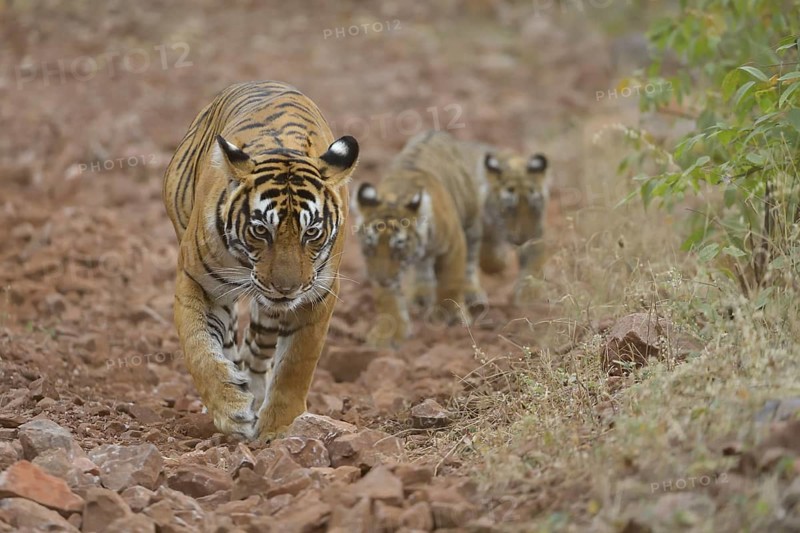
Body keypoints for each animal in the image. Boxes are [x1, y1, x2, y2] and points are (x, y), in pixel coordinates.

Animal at [162, 81, 359, 440]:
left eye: (312, 232)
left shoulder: (318, 294)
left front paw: (279, 429)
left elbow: (296, 363)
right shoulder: (197, 282)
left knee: (257, 349)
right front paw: (230, 406)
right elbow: (199, 348)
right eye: (260, 230)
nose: (286, 288)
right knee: (227, 340)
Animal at [353, 130, 488, 348]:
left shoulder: (454, 245)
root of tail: (435, 131)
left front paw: (449, 317)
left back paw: (473, 294)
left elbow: (450, 282)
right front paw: (387, 335)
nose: (381, 279)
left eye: (397, 249)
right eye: (369, 247)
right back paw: (421, 294)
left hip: (472, 223)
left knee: (469, 263)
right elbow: (388, 300)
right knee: (423, 266)